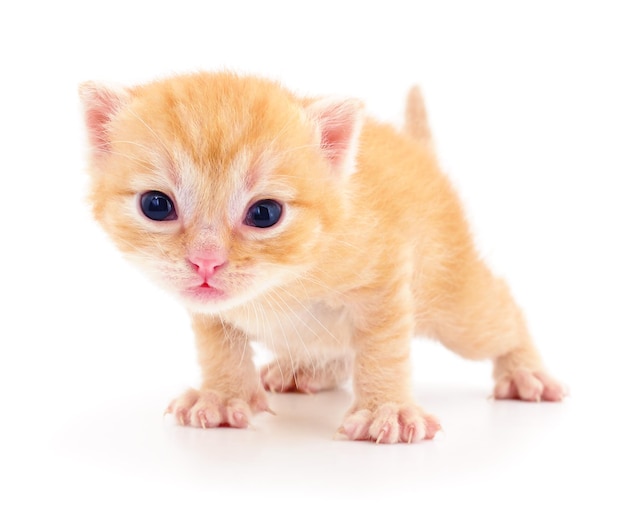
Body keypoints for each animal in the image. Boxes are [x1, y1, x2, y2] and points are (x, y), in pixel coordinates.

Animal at [79, 72, 564, 444]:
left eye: (265, 213)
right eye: (156, 205)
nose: (206, 262)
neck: (279, 282)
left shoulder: (384, 277)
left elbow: (382, 346)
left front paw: (386, 410)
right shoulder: (209, 309)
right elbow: (219, 345)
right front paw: (223, 395)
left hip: (455, 304)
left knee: (498, 309)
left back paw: (525, 372)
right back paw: (307, 369)